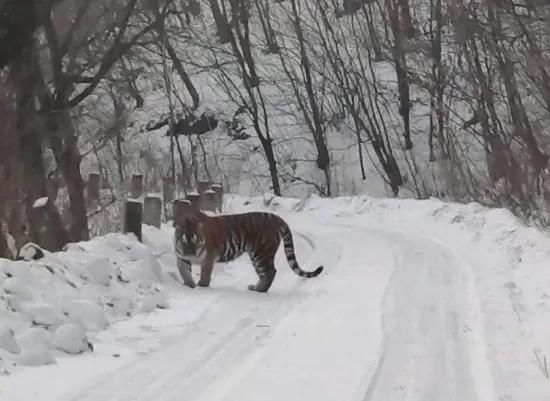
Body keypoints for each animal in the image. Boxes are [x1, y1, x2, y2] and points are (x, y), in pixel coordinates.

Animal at [175, 209, 326, 290]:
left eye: (196, 241)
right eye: (184, 241)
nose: (191, 253)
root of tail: (276, 218)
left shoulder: (208, 259)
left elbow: (205, 274)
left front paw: (202, 285)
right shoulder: (182, 258)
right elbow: (184, 272)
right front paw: (189, 285)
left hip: (261, 253)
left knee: (270, 272)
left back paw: (259, 290)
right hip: (257, 256)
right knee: (264, 274)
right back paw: (255, 287)